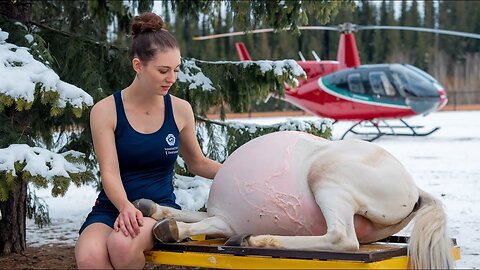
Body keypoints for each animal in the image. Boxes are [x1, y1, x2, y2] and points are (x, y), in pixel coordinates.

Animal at [134, 130, 454, 268]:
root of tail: (415, 190)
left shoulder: (227, 219)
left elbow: (200, 223)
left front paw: (169, 228)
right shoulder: (221, 216)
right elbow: (193, 216)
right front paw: (151, 208)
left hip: (327, 179)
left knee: (342, 238)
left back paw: (256, 240)